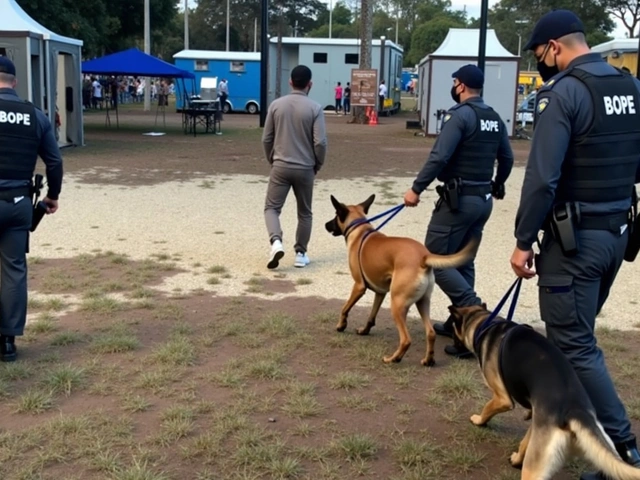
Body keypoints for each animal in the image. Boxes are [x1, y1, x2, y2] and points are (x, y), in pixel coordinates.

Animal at [324, 193, 480, 366]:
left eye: (335, 215)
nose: (325, 224)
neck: (360, 230)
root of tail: (423, 257)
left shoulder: (358, 287)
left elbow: (344, 308)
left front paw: (341, 325)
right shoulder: (380, 293)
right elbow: (371, 315)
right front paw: (365, 330)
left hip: (397, 305)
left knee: (406, 339)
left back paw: (394, 358)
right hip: (422, 303)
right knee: (430, 332)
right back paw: (428, 360)